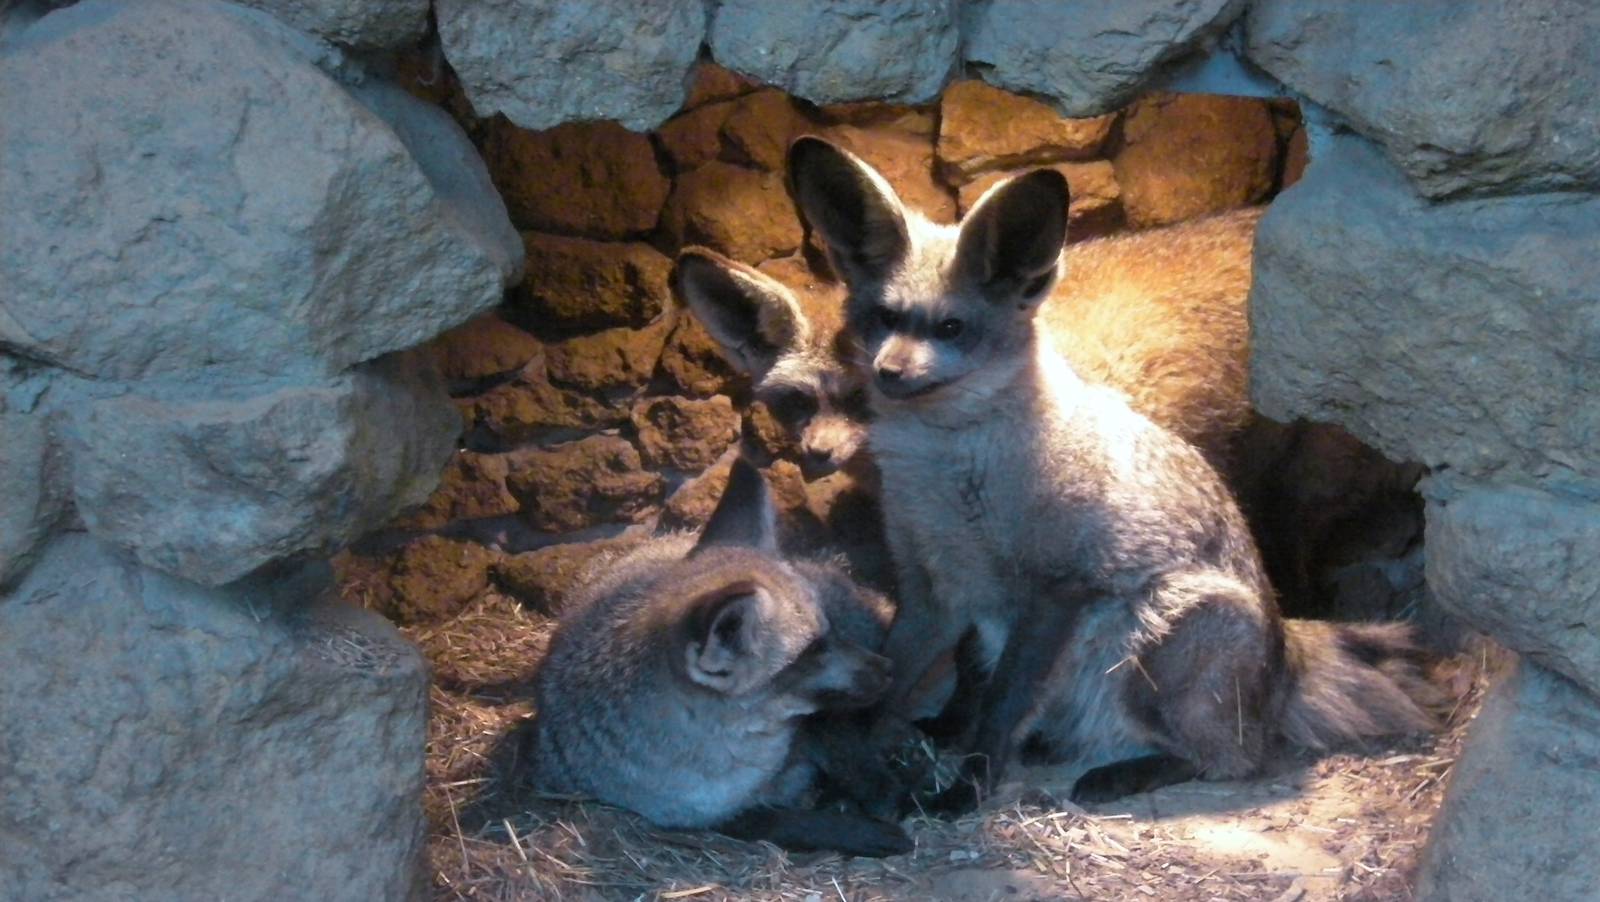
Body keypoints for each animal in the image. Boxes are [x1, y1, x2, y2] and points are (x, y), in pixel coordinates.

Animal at [529, 457, 913, 856]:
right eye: (813, 650)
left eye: (829, 632)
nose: (889, 669)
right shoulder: (714, 818)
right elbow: (781, 823)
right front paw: (861, 830)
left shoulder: (817, 728)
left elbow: (843, 747)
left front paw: (877, 795)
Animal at [785, 136, 1438, 809]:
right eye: (884, 319)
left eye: (950, 328)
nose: (888, 374)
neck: (949, 471)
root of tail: (1284, 658)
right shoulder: (931, 588)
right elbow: (897, 682)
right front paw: (864, 753)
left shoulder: (1054, 589)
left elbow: (999, 707)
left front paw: (967, 787)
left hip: (1149, 644)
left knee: (1229, 760)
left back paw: (1119, 773)